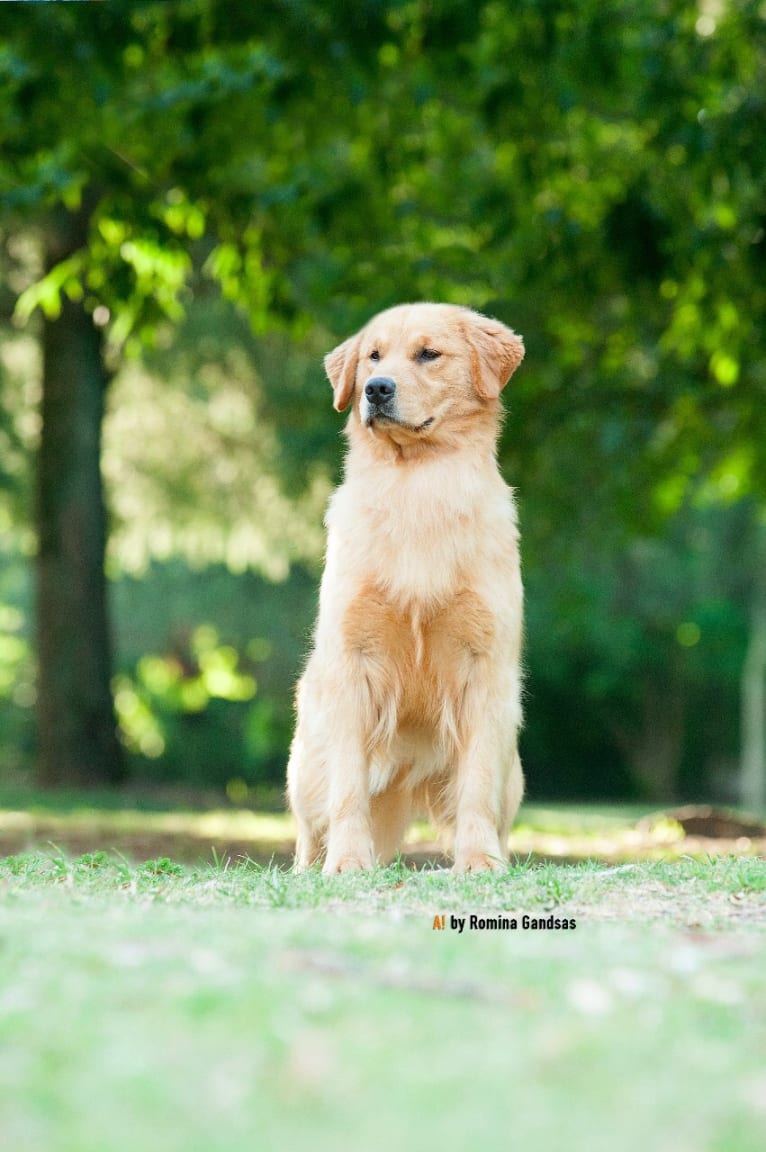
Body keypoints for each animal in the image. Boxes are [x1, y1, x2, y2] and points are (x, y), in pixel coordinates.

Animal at [286, 304, 525, 870]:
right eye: (373, 356)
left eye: (428, 354)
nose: (376, 389)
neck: (416, 484)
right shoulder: (351, 663)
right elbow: (348, 790)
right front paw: (347, 863)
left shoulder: (487, 670)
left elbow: (477, 786)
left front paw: (478, 862)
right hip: (305, 762)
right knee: (309, 829)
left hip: (516, 770)